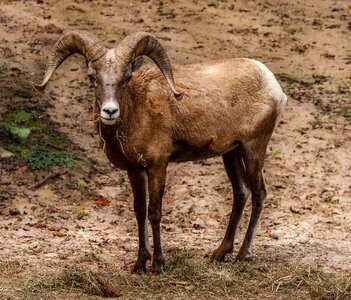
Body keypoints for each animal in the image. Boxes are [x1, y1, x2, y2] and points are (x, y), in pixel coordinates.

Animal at [34, 31, 288, 274]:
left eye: (126, 78)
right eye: (92, 77)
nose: (110, 111)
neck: (138, 112)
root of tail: (272, 85)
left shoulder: (158, 166)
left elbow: (154, 212)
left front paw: (157, 265)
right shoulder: (135, 169)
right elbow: (139, 211)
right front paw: (139, 263)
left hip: (253, 147)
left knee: (259, 193)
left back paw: (243, 255)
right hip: (231, 153)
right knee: (241, 193)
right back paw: (219, 253)